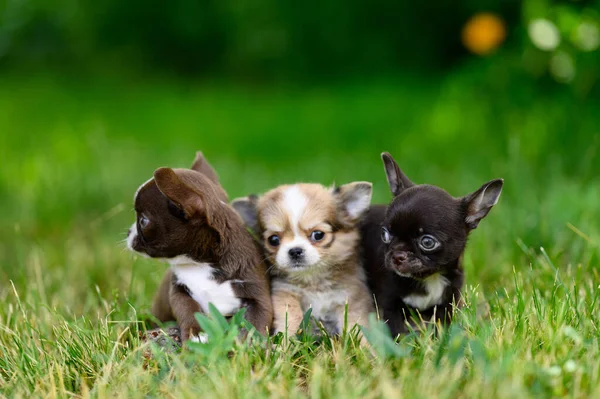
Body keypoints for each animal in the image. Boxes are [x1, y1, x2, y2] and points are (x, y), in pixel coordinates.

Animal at [130, 152, 276, 342]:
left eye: (143, 221)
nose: (129, 232)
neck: (202, 264)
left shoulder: (258, 295)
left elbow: (256, 322)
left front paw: (251, 343)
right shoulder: (179, 292)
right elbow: (188, 310)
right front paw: (196, 335)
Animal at [234, 183, 376, 340]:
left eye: (318, 235)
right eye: (273, 240)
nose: (295, 251)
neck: (313, 280)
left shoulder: (351, 299)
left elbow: (356, 325)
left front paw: (366, 345)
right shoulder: (285, 293)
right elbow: (291, 316)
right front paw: (285, 341)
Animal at [360, 153, 502, 338]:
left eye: (427, 242)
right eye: (384, 234)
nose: (397, 255)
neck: (429, 277)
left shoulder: (449, 301)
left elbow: (444, 327)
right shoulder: (389, 302)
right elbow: (396, 331)